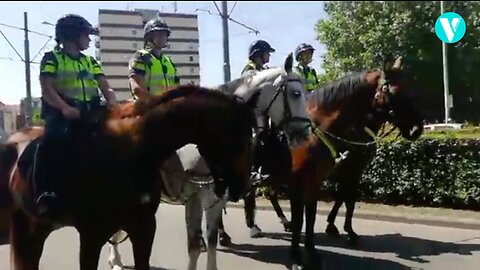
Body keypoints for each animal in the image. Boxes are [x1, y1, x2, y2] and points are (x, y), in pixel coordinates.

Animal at [0, 86, 256, 270]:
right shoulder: (92, 234)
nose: (241, 187)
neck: (132, 151)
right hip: (25, 229)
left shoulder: (144, 227)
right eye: (244, 140)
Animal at [106, 52, 310, 270]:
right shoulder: (194, 198)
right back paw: (115, 259)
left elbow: (211, 240)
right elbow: (194, 246)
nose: (306, 134)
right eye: (296, 93)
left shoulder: (217, 199)